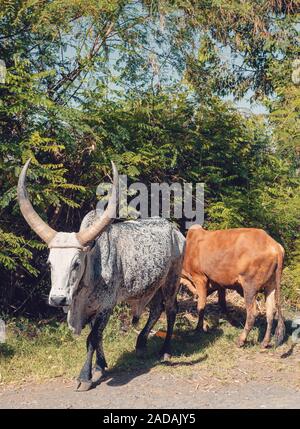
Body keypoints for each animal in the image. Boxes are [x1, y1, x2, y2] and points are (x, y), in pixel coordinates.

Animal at [17, 160, 185, 392]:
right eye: (50, 263)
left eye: (76, 263)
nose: (58, 299)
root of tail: (175, 230)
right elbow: (97, 337)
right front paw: (100, 366)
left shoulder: (106, 306)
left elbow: (92, 338)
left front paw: (84, 377)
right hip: (153, 284)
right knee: (155, 309)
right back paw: (141, 343)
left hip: (172, 280)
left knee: (170, 310)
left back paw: (166, 350)